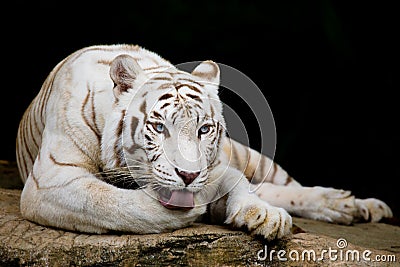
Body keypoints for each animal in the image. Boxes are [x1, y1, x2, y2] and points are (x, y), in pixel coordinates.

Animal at [14, 44, 390, 241]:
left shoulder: (220, 165)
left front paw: (266, 216)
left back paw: (354, 205)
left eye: (204, 129)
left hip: (250, 155)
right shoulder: (51, 181)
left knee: (282, 185)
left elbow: (241, 186)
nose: (190, 176)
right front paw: (191, 210)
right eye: (158, 126)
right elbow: (109, 202)